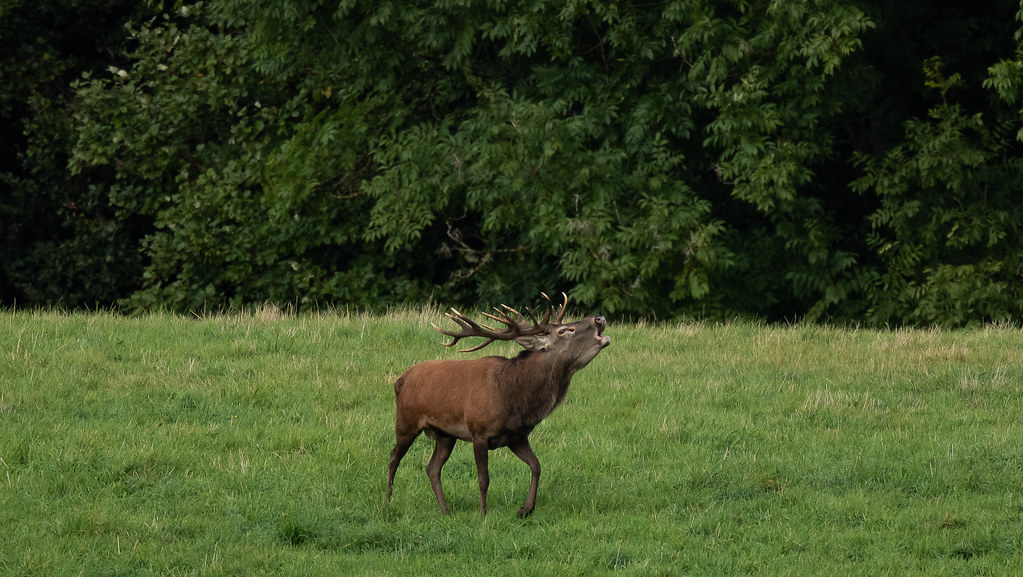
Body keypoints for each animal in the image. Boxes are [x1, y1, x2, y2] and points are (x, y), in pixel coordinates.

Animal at [384, 292, 605, 517]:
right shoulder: (478, 432)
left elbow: (536, 466)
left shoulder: (516, 436)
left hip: (445, 434)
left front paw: (525, 509)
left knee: (432, 468)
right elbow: (484, 479)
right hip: (406, 421)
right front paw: (483, 514)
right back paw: (387, 501)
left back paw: (445, 511)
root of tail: (399, 380)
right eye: (564, 331)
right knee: (394, 457)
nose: (599, 318)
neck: (513, 398)